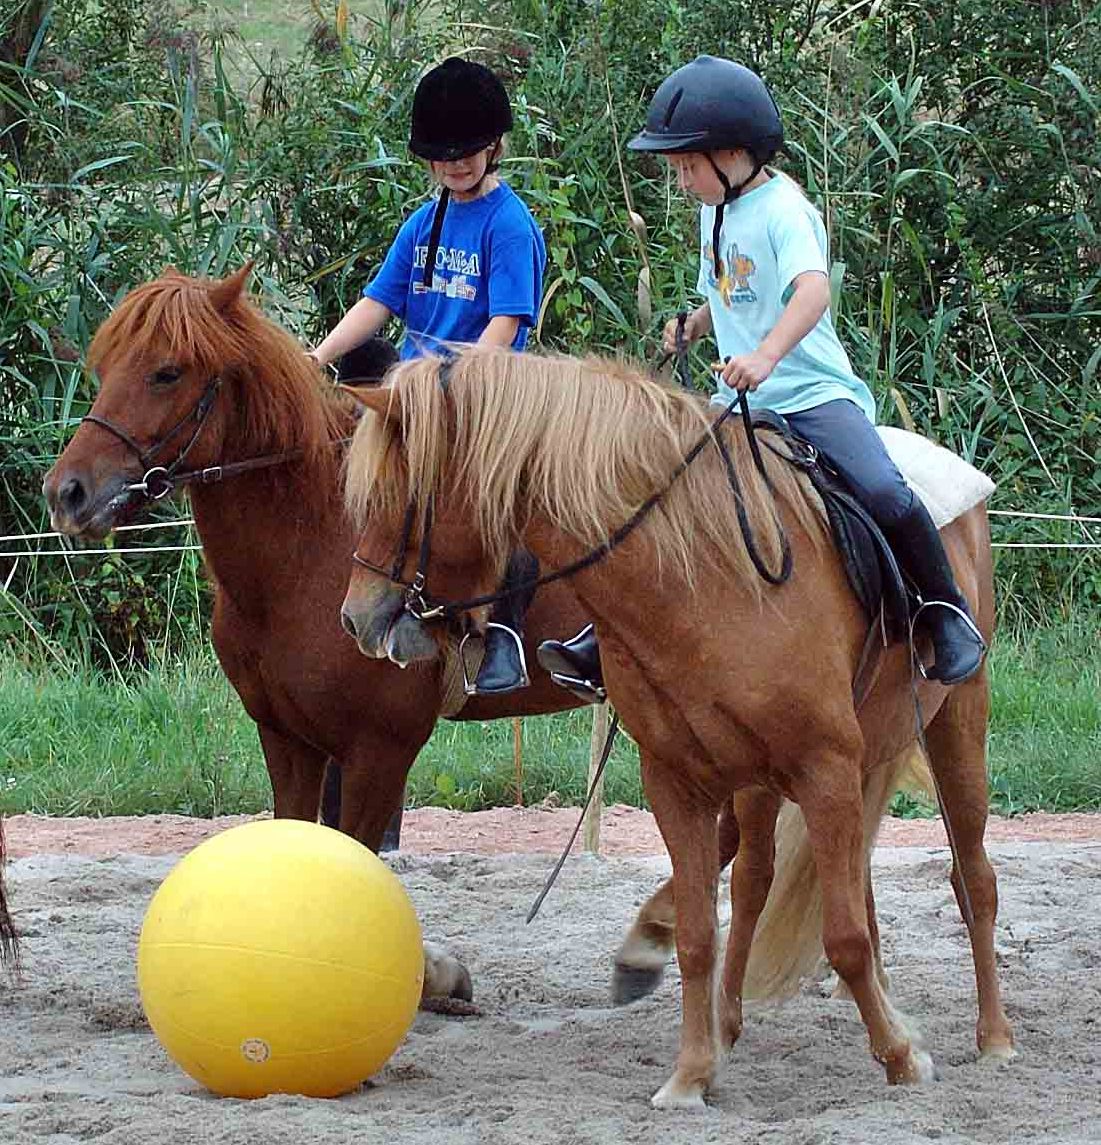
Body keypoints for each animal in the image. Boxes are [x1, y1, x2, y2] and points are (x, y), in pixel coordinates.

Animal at [341, 350, 1011, 1108]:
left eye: (393, 499)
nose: (356, 619)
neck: (704, 578)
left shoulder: (824, 767)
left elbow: (843, 935)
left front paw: (900, 1057)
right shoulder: (678, 781)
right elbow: (698, 935)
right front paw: (691, 1074)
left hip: (955, 719)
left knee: (971, 879)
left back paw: (993, 1038)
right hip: (784, 771)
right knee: (760, 879)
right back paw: (741, 1019)